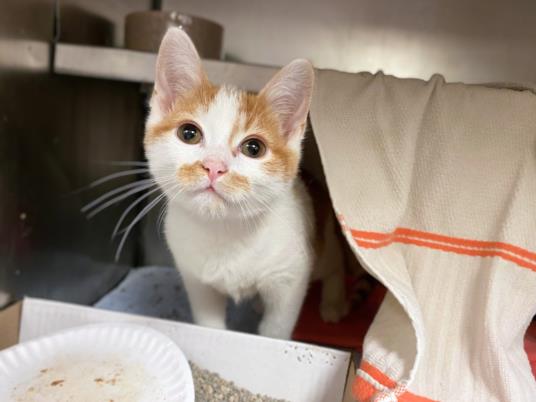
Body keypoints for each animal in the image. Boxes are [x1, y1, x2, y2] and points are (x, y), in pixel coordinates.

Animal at [144, 26, 350, 338]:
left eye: (254, 148)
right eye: (188, 133)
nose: (214, 166)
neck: (225, 232)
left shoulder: (290, 278)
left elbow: (275, 329)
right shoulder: (196, 280)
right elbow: (209, 323)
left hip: (321, 243)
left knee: (335, 264)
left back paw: (333, 303)